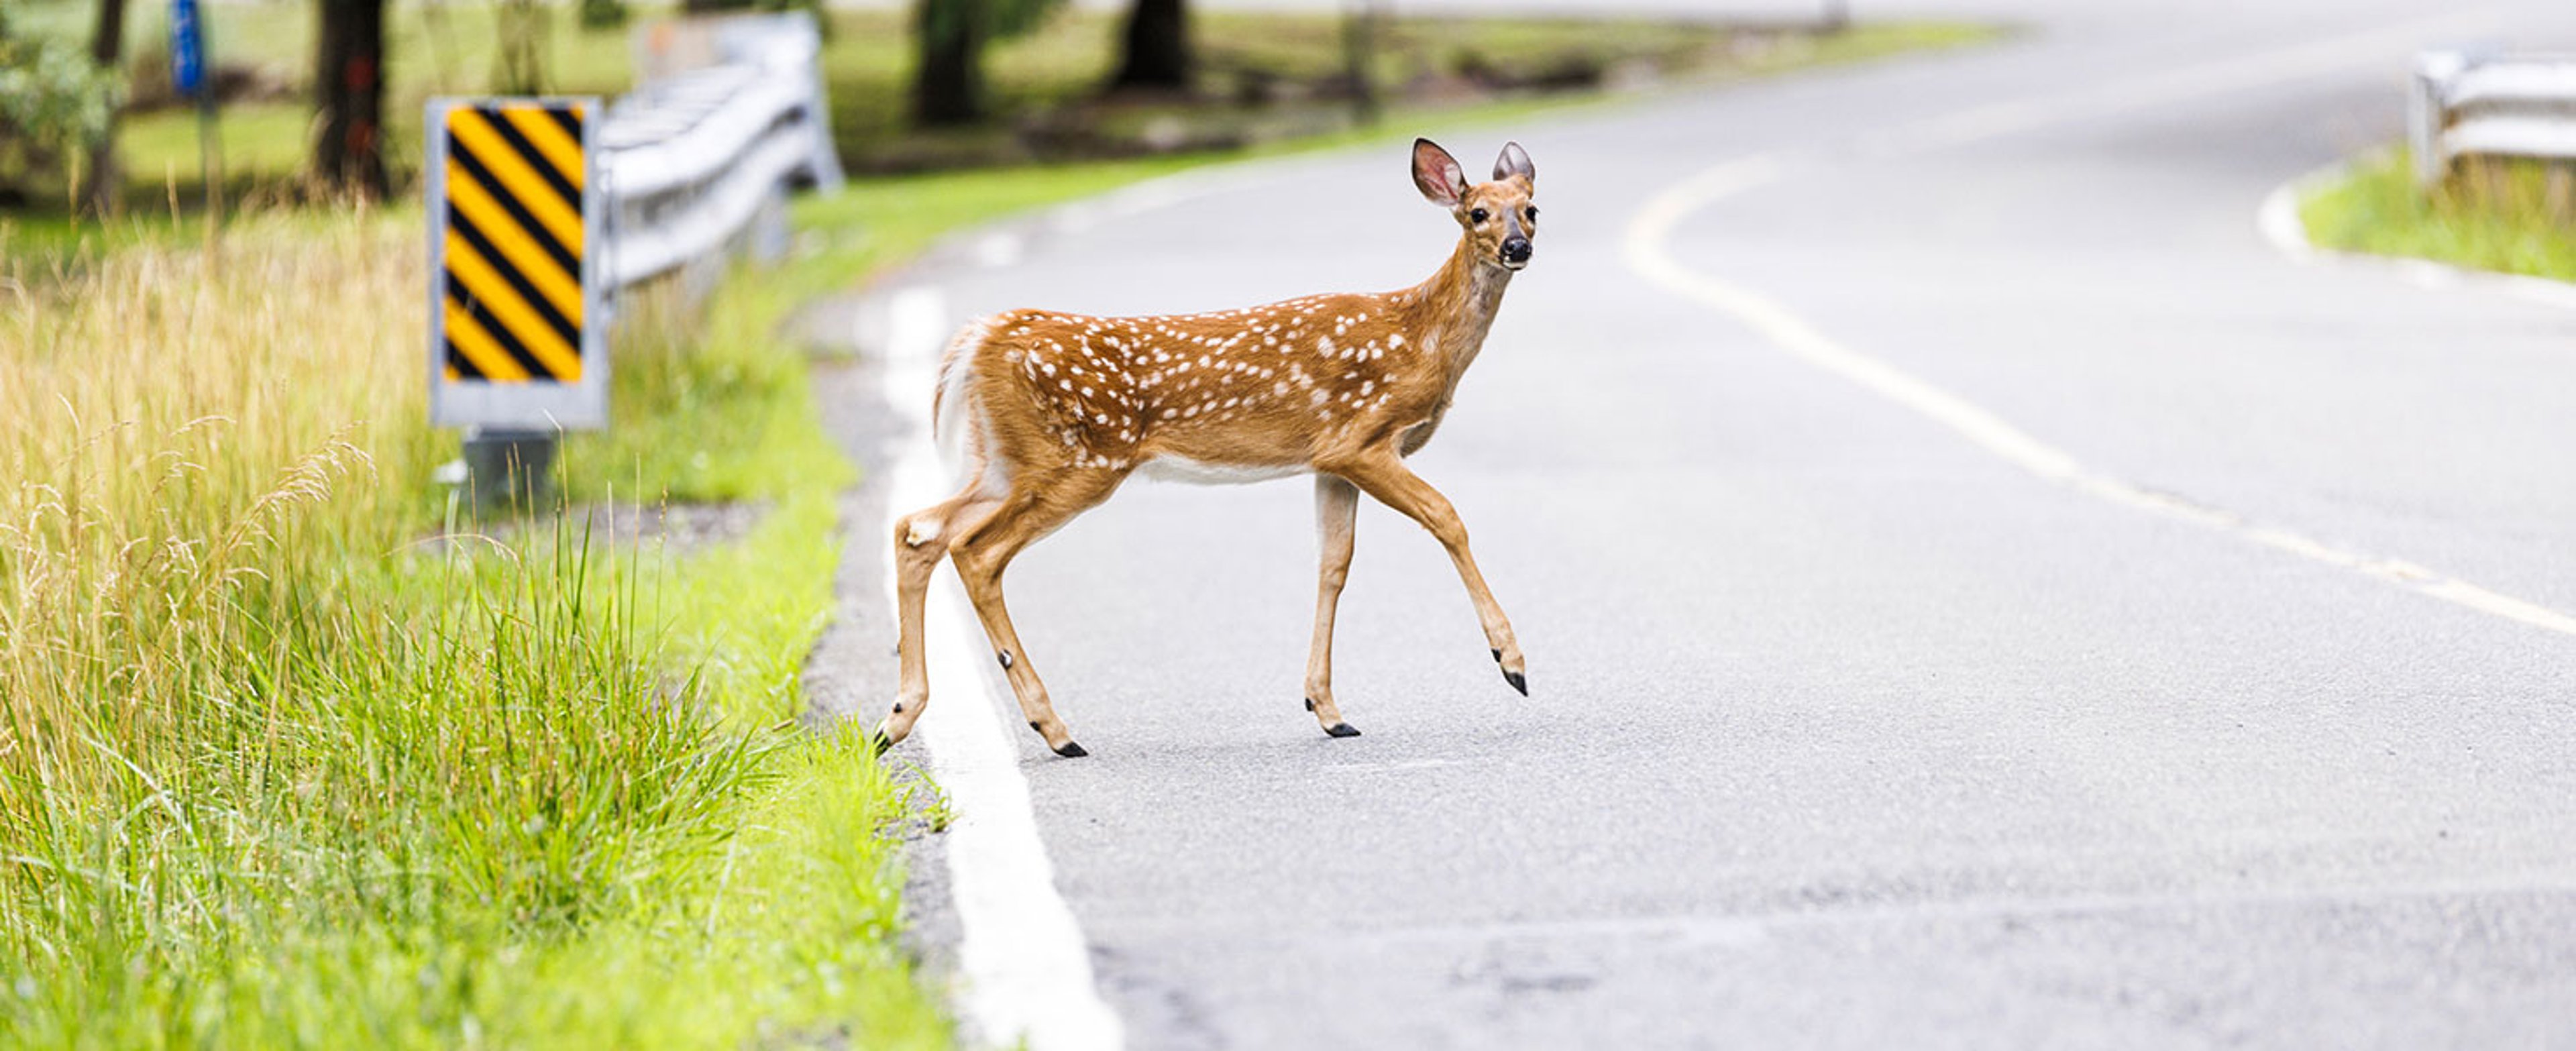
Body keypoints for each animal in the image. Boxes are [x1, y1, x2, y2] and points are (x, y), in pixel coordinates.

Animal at [878, 138, 1539, 758]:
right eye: (1477, 212)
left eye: (1531, 208)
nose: (1517, 247)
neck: (1419, 337)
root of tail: (982, 338)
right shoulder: (1362, 439)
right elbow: (1445, 516)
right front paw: (1511, 660)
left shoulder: (1329, 461)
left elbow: (1333, 565)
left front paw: (1327, 709)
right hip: (1080, 459)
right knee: (977, 550)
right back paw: (1055, 729)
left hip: (1005, 459)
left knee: (920, 528)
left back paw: (897, 718)